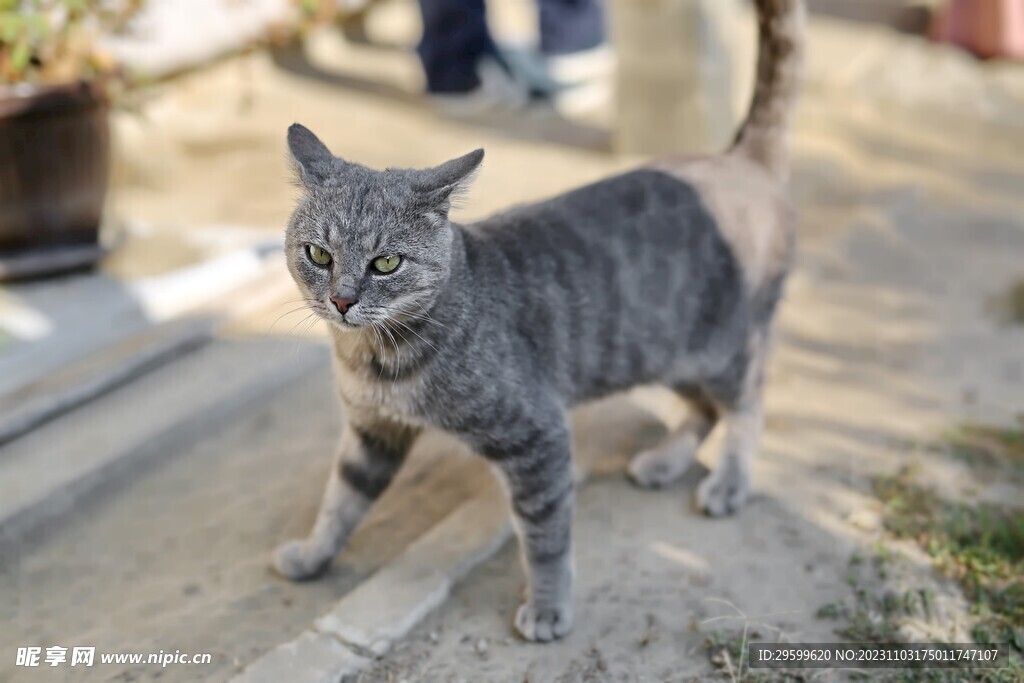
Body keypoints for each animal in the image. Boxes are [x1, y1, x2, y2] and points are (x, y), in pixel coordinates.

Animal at [276, 0, 802, 643]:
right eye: (318, 254)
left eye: (386, 263)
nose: (343, 300)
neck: (378, 357)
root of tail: (739, 158)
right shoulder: (371, 431)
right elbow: (340, 500)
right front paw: (312, 555)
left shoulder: (538, 436)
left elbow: (546, 538)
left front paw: (550, 608)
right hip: (662, 351)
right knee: (704, 408)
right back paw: (664, 461)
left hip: (724, 350)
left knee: (746, 405)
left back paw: (728, 482)